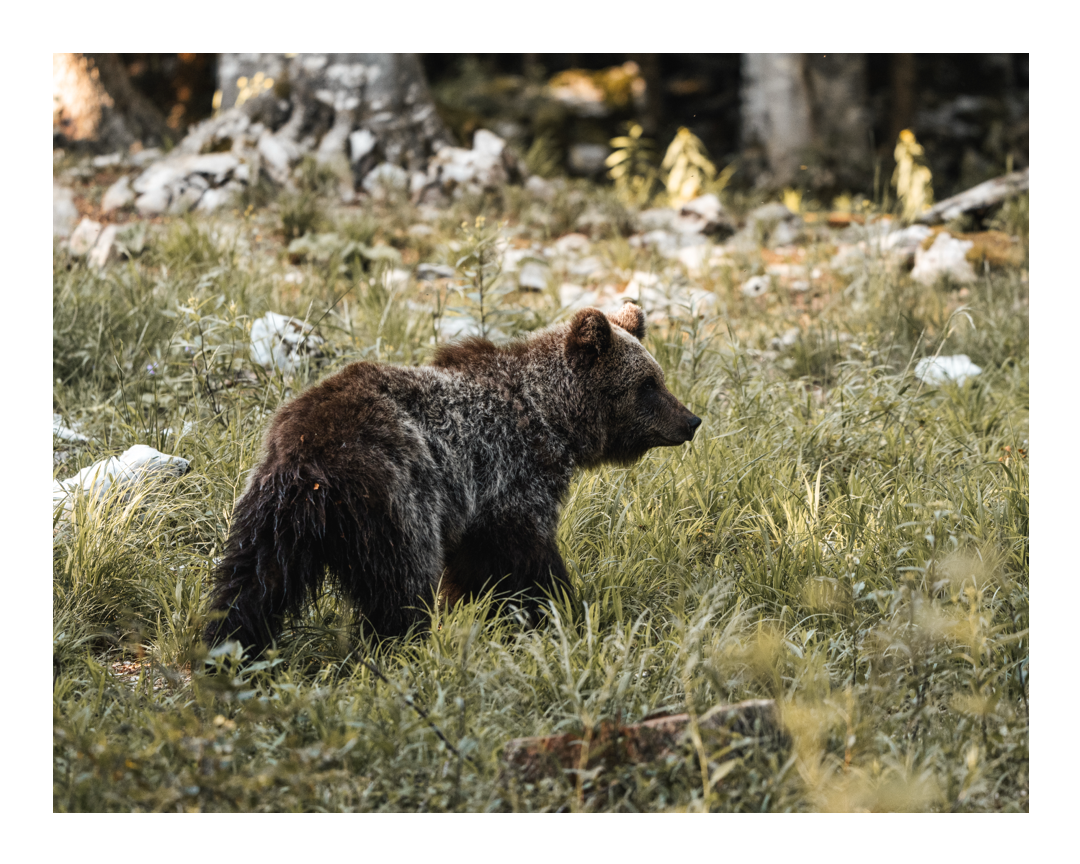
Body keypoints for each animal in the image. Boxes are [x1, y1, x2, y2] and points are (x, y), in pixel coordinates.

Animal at [204, 301, 701, 655]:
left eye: (658, 377)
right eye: (647, 385)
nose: (691, 420)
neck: (552, 419)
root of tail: (311, 454)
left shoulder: (477, 504)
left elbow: (475, 566)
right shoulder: (510, 480)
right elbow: (526, 558)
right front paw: (560, 609)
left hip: (271, 510)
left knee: (252, 583)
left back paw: (227, 649)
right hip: (396, 497)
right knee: (400, 586)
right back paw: (404, 646)